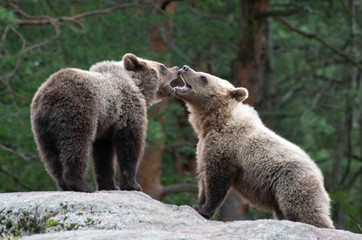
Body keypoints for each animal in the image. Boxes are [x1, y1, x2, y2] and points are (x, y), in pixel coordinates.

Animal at [30, 53, 180, 192]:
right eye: (162, 67)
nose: (177, 68)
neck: (137, 87)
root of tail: (49, 94)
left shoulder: (107, 124)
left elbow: (104, 154)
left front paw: (111, 185)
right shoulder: (128, 111)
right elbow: (131, 143)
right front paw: (133, 185)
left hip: (43, 128)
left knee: (51, 156)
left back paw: (64, 185)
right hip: (78, 111)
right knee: (77, 144)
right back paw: (82, 185)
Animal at [171, 65, 336, 229]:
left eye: (203, 77)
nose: (184, 67)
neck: (211, 124)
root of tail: (320, 176)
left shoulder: (226, 150)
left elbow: (216, 182)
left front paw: (204, 209)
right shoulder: (204, 149)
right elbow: (203, 181)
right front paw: (197, 205)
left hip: (292, 183)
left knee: (304, 210)